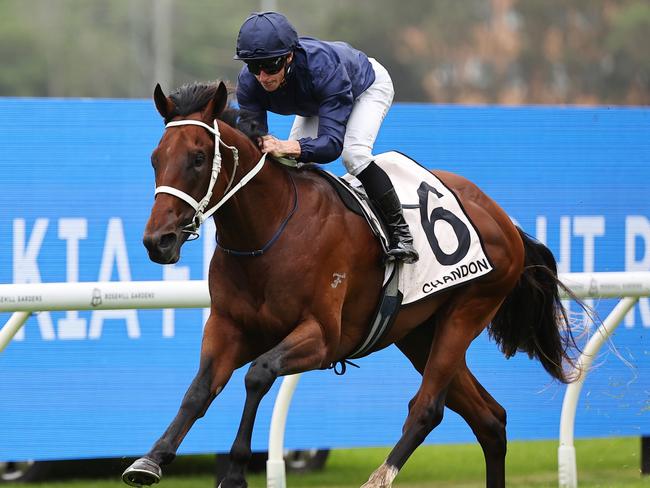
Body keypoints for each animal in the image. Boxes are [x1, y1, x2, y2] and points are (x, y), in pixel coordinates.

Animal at [123, 82, 576, 486]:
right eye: (155, 158)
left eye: (198, 157)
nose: (157, 241)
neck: (267, 234)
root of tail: (503, 219)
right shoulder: (229, 326)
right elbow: (199, 390)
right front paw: (151, 460)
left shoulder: (323, 337)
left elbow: (257, 375)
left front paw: (234, 472)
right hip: (419, 333)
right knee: (490, 421)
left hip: (467, 311)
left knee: (428, 407)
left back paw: (379, 478)